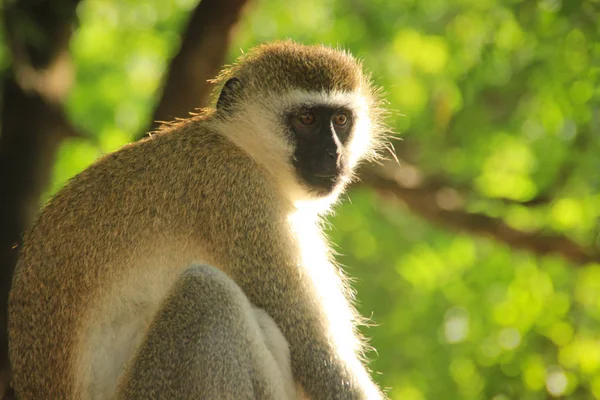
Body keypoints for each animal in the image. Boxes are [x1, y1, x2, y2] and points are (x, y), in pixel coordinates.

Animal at [8, 39, 390, 398]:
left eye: (340, 120)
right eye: (307, 120)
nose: (333, 153)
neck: (240, 146)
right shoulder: (240, 197)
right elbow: (320, 359)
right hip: (154, 386)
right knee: (208, 292)